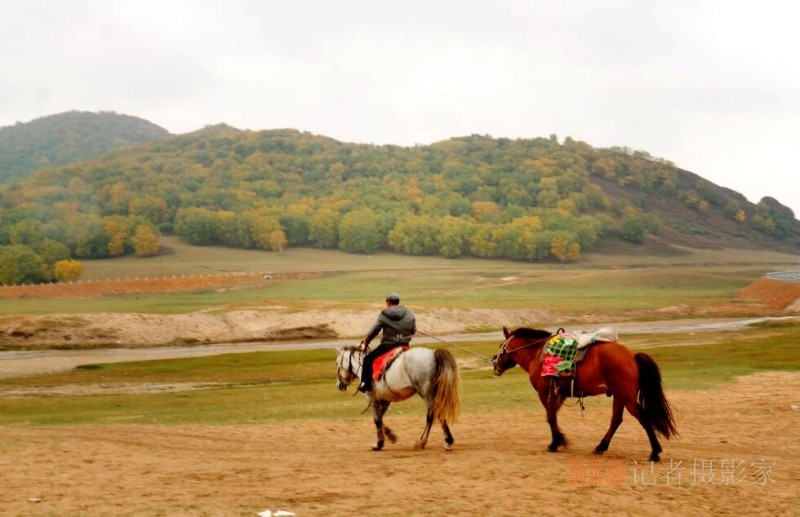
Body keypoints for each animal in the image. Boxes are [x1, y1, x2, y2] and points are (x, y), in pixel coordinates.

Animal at [494, 326, 676, 460]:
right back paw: (601, 447)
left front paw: (555, 443)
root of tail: (632, 356)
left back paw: (654, 453)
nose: (495, 364)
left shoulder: (544, 392)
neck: (538, 354)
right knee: (616, 420)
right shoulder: (559, 394)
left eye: (501, 345)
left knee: (643, 418)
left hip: (627, 397)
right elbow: (553, 416)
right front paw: (560, 439)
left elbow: (550, 417)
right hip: (619, 396)